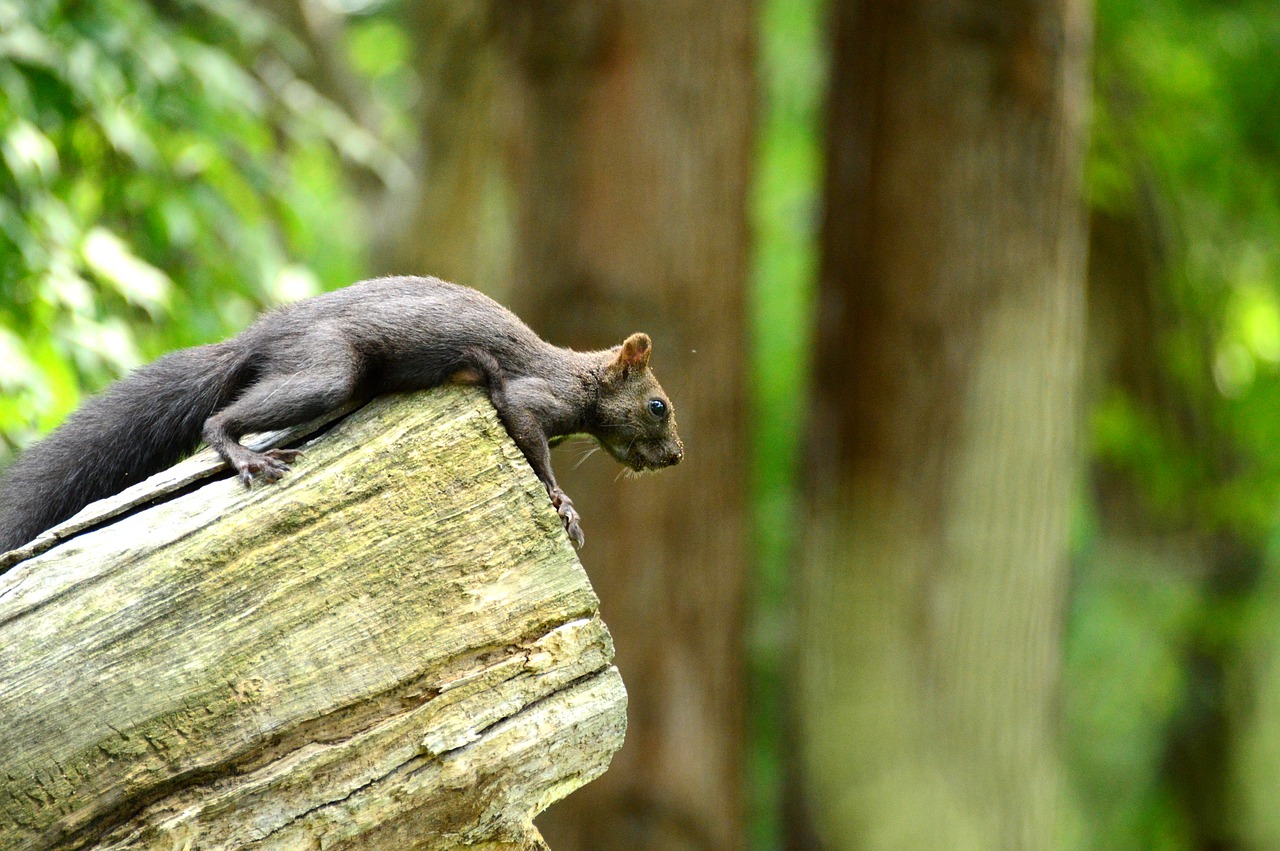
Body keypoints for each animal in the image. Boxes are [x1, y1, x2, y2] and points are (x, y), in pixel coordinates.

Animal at [0, 275, 686, 555]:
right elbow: (529, 438)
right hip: (328, 368)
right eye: (659, 405)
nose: (677, 457)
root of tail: (261, 336)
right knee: (215, 423)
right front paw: (562, 503)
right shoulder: (528, 393)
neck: (576, 377)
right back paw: (248, 457)